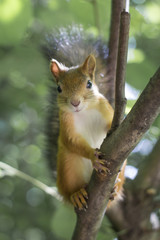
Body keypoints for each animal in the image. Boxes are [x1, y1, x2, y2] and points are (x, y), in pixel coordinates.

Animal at [45, 26, 126, 210]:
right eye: (59, 88)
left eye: (89, 84)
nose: (75, 103)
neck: (84, 111)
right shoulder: (66, 123)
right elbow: (71, 140)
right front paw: (92, 156)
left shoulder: (106, 110)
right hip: (68, 167)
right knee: (70, 191)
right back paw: (76, 195)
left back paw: (113, 191)